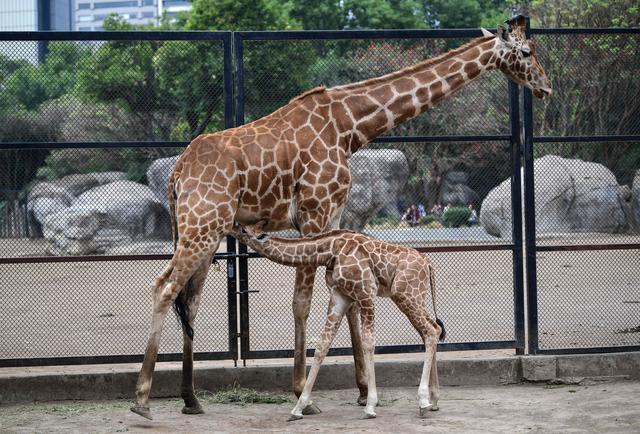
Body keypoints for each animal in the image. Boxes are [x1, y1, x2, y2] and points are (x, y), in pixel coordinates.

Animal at [230, 225, 444, 422]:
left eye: (243, 230)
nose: (231, 228)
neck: (330, 251)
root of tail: (428, 262)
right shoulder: (339, 296)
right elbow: (322, 345)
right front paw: (298, 408)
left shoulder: (366, 293)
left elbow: (368, 343)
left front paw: (370, 406)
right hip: (415, 297)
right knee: (434, 328)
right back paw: (433, 400)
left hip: (404, 294)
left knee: (430, 331)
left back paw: (423, 401)